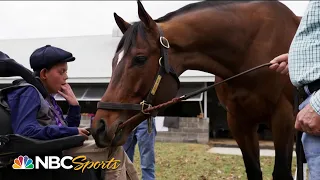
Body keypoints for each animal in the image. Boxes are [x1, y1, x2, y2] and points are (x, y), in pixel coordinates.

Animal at [91, 0, 302, 179]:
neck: (250, 51)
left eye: (140, 59)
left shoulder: (283, 118)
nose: (99, 126)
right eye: (114, 60)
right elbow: (253, 171)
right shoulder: (239, 121)